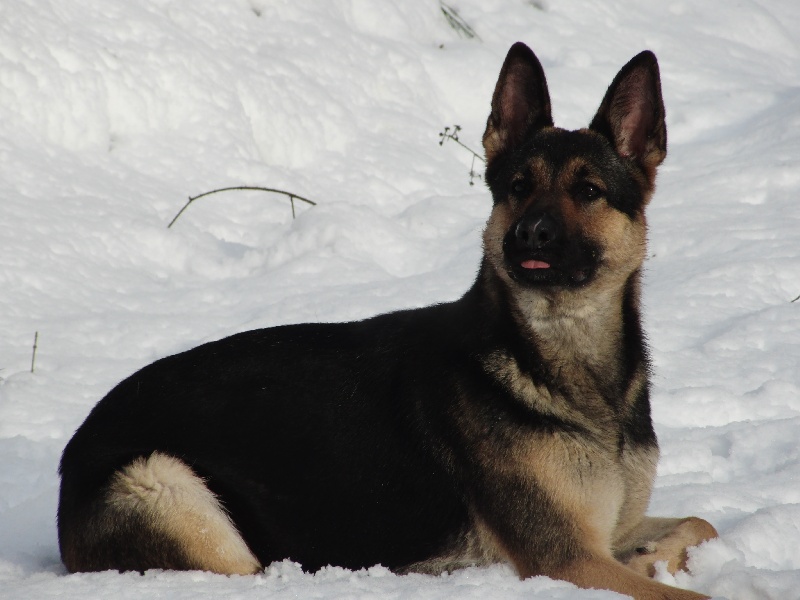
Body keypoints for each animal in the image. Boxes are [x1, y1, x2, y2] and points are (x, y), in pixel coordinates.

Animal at [57, 43, 720, 600]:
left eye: (588, 191)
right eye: (516, 187)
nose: (529, 233)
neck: (559, 361)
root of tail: (71, 452)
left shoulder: (608, 532)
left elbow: (701, 522)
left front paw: (659, 554)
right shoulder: (565, 557)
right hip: (164, 482)